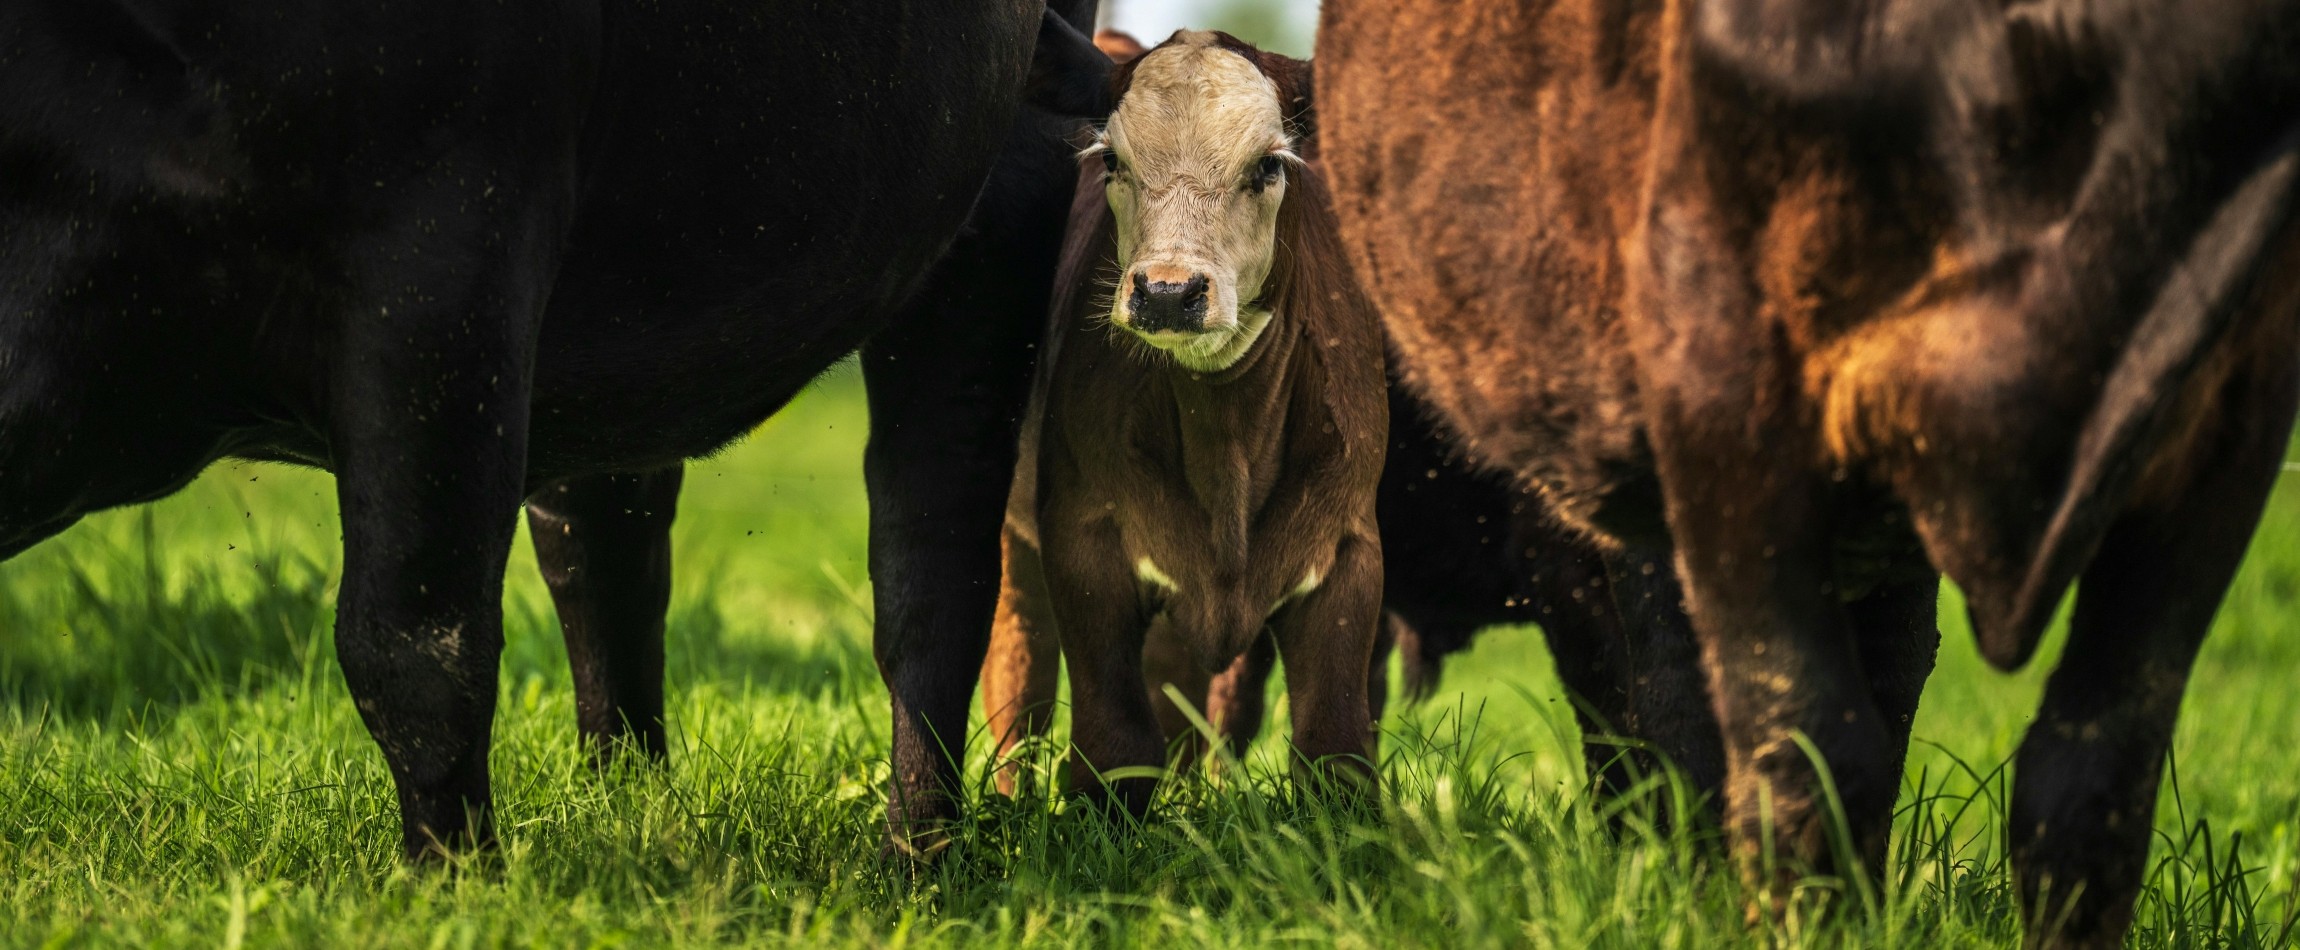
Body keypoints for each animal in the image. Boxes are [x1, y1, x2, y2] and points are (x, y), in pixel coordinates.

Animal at [0, 0, 1108, 861]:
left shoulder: (445, 250)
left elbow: (413, 636)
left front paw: (452, 884)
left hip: (993, 198)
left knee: (934, 558)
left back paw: (914, 855)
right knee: (606, 549)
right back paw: (627, 801)